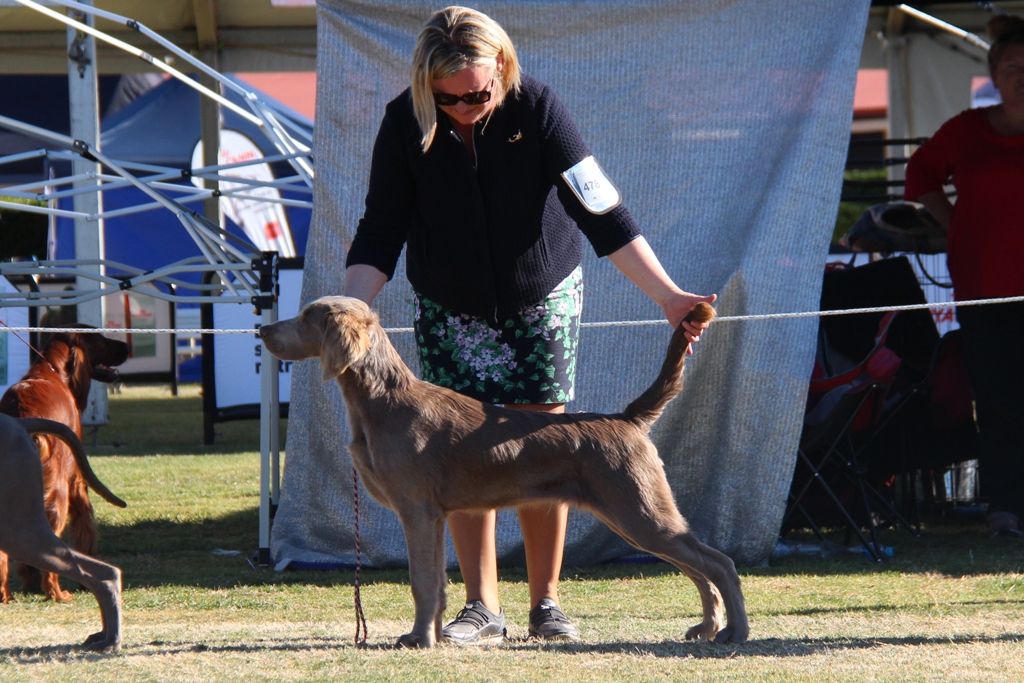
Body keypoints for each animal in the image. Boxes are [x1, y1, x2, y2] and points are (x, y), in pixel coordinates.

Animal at [0, 330, 129, 601]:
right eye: (100, 339)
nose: (126, 346)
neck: (52, 370)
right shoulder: (77, 481)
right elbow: (85, 525)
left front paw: (29, 580)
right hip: (56, 493)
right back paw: (57, 593)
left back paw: (5, 595)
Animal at [259, 296, 749, 648]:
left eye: (306, 316)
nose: (262, 329)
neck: (383, 402)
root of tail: (625, 419)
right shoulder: (435, 515)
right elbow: (436, 581)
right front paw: (432, 635)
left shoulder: (416, 511)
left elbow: (421, 581)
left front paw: (419, 639)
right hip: (637, 515)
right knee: (699, 569)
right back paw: (706, 628)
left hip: (639, 510)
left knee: (719, 563)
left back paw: (734, 632)